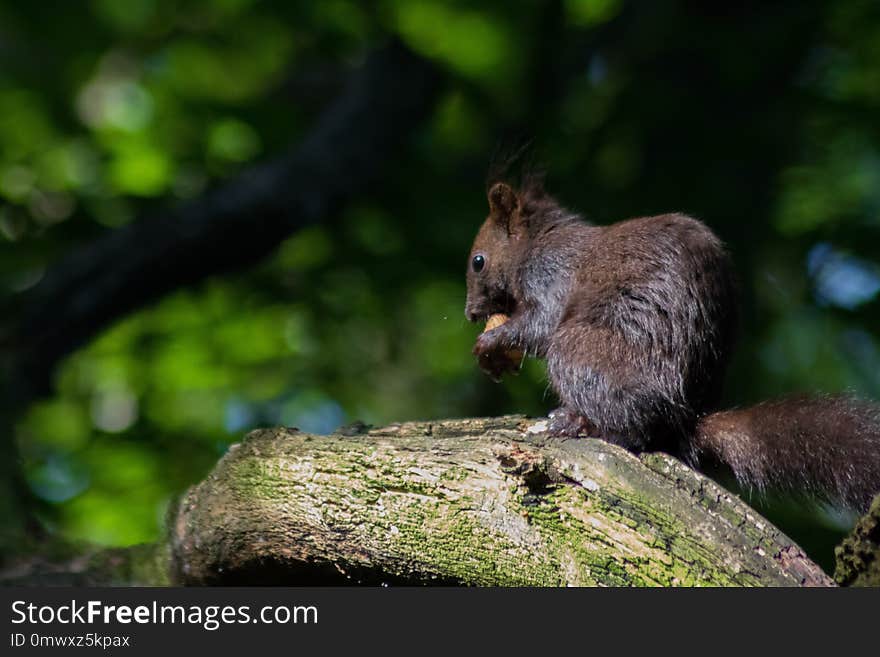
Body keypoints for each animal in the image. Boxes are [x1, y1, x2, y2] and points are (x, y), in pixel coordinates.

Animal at [468, 174, 880, 512]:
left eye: (478, 261)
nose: (471, 313)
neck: (538, 241)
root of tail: (686, 418)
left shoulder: (551, 274)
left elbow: (541, 323)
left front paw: (491, 341)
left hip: (578, 351)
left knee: (632, 427)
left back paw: (576, 422)